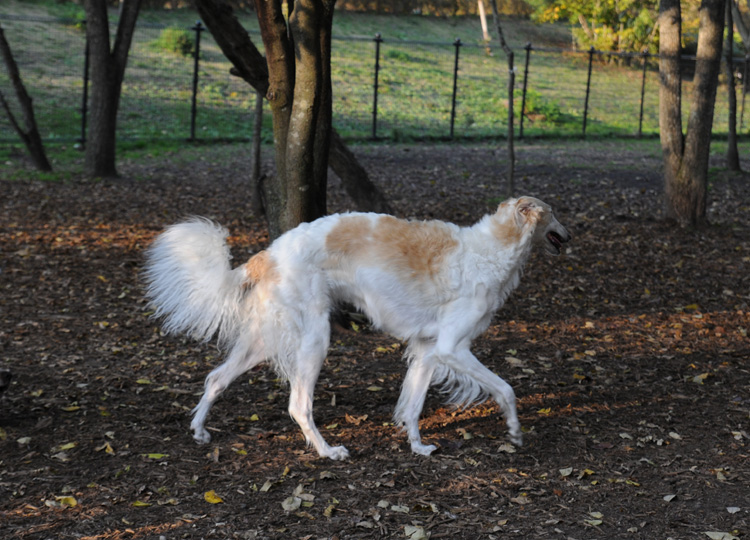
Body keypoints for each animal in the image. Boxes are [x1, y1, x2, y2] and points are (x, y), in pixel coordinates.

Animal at [144, 196, 572, 458]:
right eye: (553, 213)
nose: (571, 235)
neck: (493, 249)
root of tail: (269, 253)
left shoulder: (429, 349)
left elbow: (413, 405)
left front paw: (417, 447)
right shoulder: (453, 346)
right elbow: (507, 389)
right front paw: (514, 432)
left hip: (264, 341)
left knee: (216, 378)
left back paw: (199, 431)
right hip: (314, 339)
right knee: (298, 405)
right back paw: (327, 451)